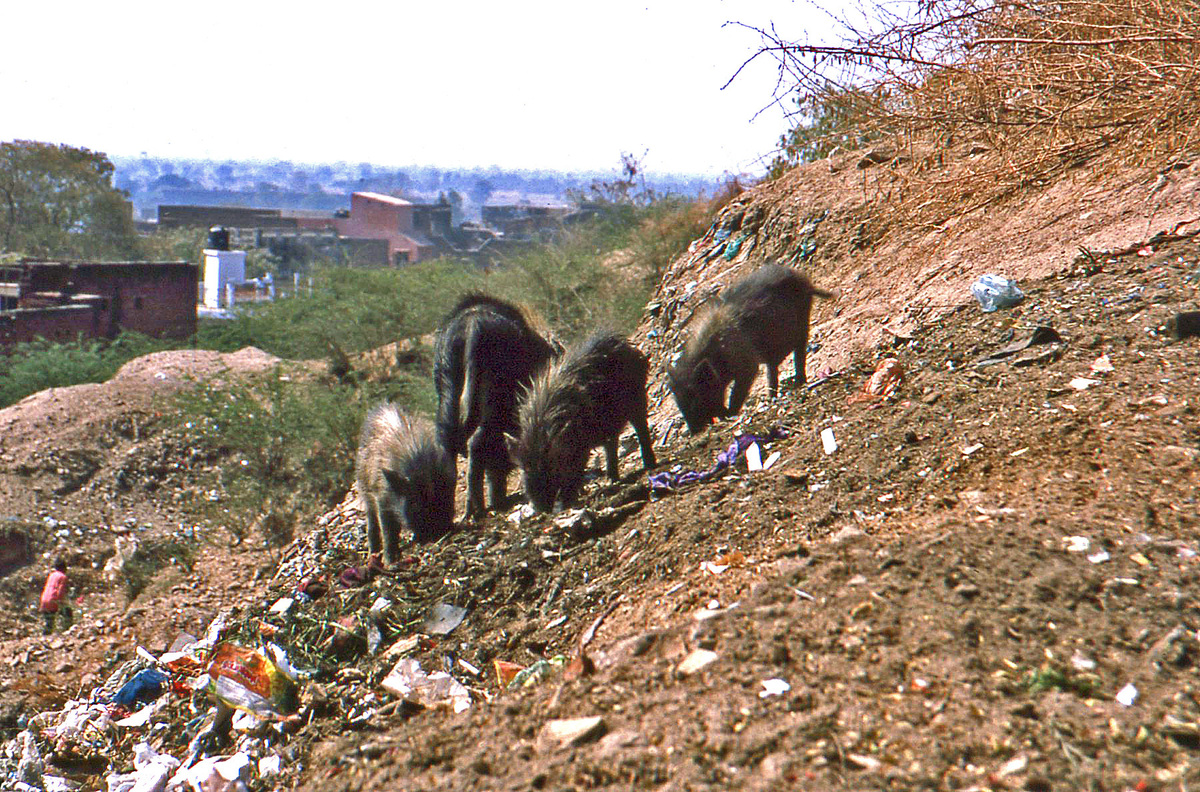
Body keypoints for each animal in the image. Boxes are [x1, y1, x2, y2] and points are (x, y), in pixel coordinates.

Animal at [352, 403, 456, 564]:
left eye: (445, 498)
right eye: (415, 504)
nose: (438, 534)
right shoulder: (382, 498)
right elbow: (388, 530)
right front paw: (390, 562)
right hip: (364, 488)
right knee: (372, 523)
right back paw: (372, 556)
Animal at [434, 294, 559, 516]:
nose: (499, 498)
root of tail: (473, 324)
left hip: (447, 393)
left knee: (447, 446)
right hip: (493, 401)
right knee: (476, 442)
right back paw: (477, 510)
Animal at [506, 328, 657, 511]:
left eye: (550, 467)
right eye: (524, 469)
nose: (541, 509)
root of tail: (631, 349)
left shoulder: (579, 451)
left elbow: (576, 472)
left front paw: (566, 503)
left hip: (638, 399)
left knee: (641, 428)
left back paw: (650, 465)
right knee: (611, 444)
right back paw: (612, 480)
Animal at [667, 262, 835, 432]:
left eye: (695, 396)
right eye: (678, 401)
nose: (693, 431)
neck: (717, 352)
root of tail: (804, 279)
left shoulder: (747, 364)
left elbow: (737, 392)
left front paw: (729, 414)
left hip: (803, 320)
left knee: (799, 352)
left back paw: (798, 383)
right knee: (773, 368)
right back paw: (772, 396)